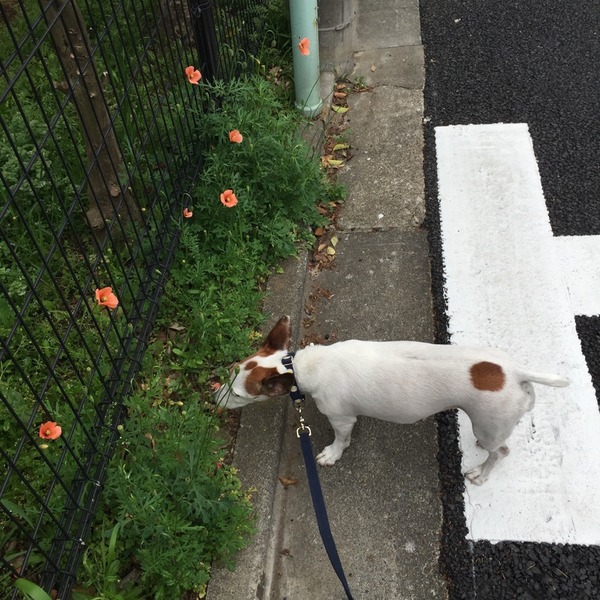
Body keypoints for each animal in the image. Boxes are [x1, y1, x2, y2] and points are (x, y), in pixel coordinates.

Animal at [214, 316, 570, 484]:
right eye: (232, 370)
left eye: (238, 393)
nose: (212, 398)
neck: (299, 366)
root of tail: (515, 371)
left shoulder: (341, 418)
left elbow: (341, 438)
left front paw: (332, 453)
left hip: (490, 423)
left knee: (502, 451)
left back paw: (482, 473)